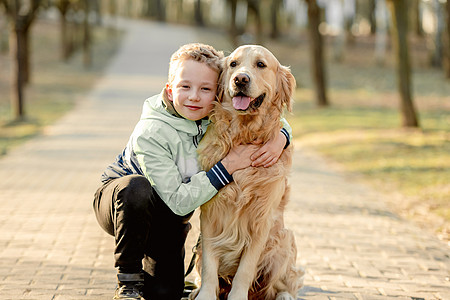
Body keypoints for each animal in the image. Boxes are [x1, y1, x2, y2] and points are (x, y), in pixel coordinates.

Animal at [192, 45, 304, 300]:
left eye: (261, 64)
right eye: (233, 64)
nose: (240, 79)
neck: (244, 134)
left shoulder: (261, 219)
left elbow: (246, 268)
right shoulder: (211, 214)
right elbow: (210, 264)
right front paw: (205, 295)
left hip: (284, 239)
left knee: (281, 285)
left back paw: (284, 295)